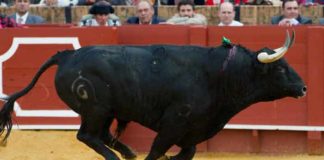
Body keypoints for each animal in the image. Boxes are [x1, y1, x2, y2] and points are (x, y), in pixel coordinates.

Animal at [0, 31, 306, 160]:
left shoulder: (192, 130)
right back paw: (117, 157)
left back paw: (128, 153)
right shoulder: (173, 124)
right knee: (86, 136)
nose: (304, 88)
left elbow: (188, 153)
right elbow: (158, 150)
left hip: (106, 112)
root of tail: (66, 55)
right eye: (280, 68)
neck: (220, 74)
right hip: (96, 109)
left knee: (101, 135)